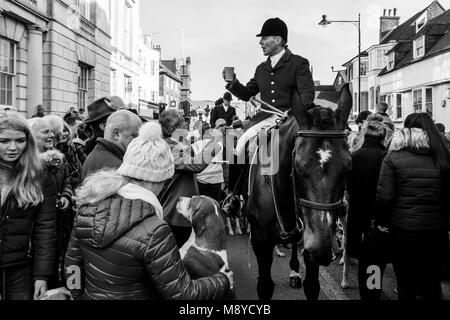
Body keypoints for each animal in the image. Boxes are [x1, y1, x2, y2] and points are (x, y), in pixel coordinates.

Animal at [244, 84, 354, 298]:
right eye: (298, 166)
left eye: (348, 166)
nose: (321, 250)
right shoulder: (261, 242)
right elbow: (264, 286)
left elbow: (312, 286)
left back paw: (295, 271)